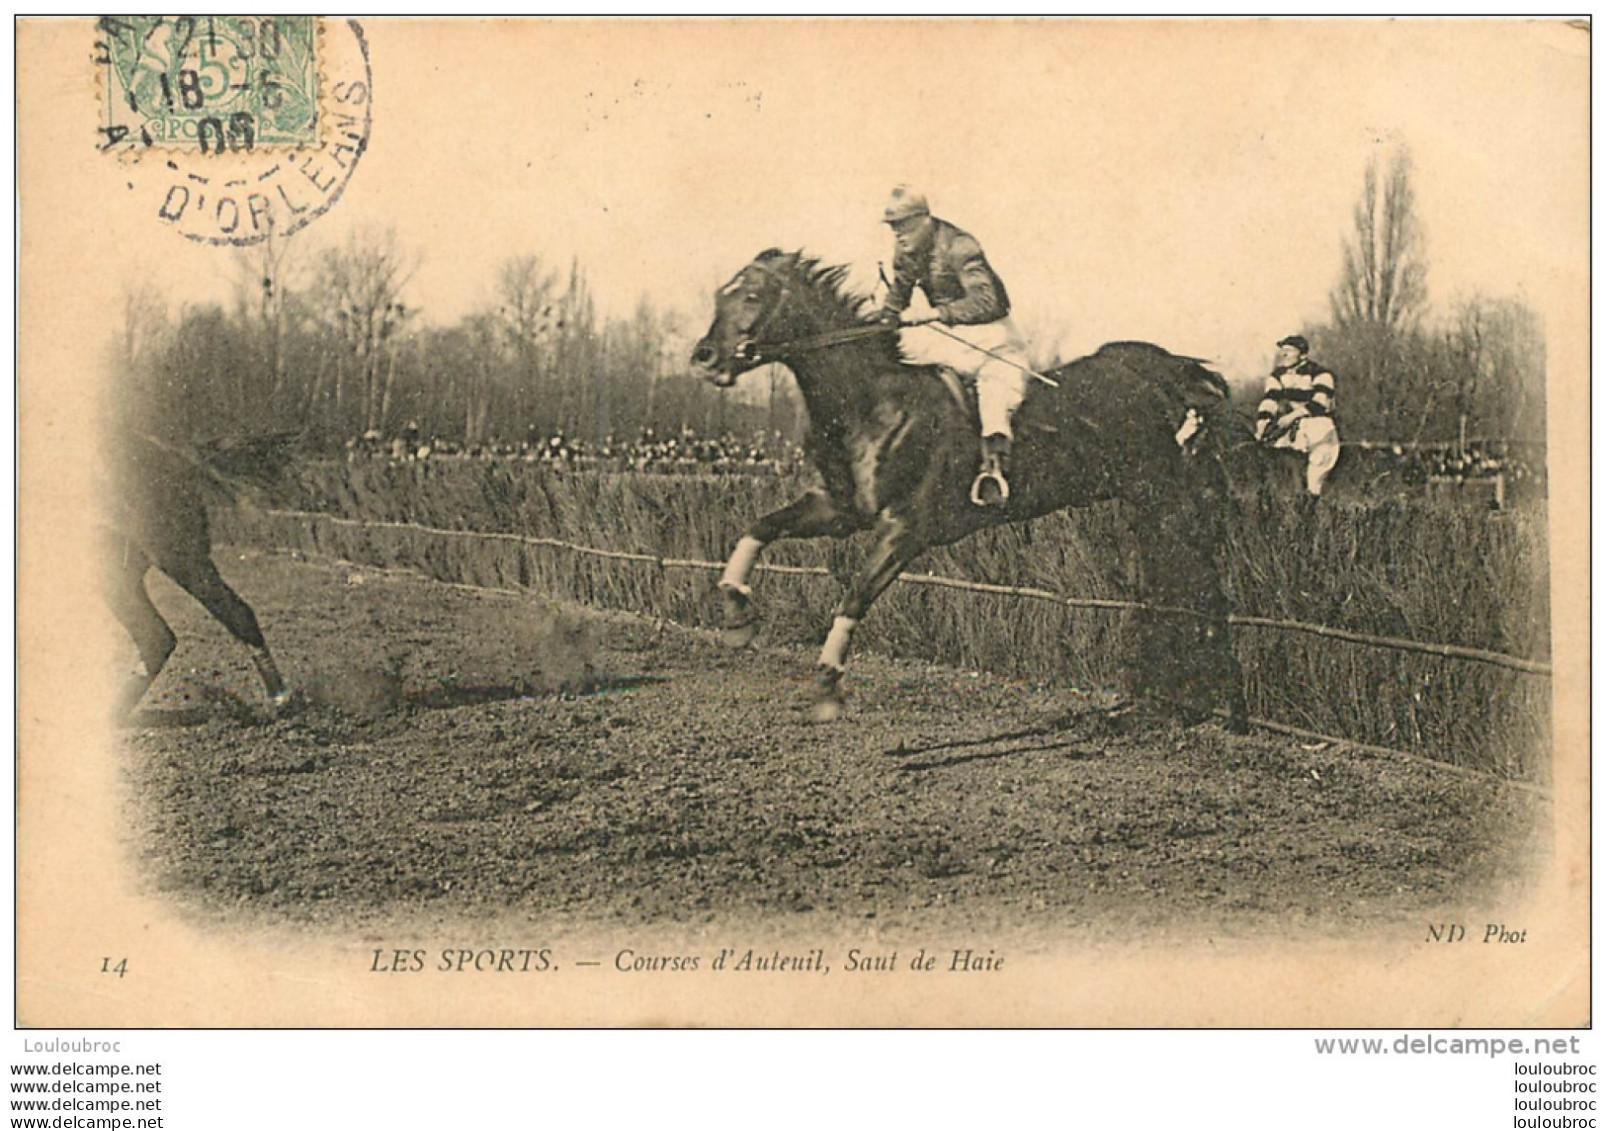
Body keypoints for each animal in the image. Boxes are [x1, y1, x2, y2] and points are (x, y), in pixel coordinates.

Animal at [684, 249, 1246, 729]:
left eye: (751, 295)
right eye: (719, 295)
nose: (704, 357)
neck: (873, 403)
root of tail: (1170, 370)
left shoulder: (906, 529)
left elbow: (854, 595)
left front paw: (826, 685)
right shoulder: (841, 510)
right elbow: (760, 525)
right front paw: (735, 611)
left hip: (1171, 496)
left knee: (1202, 585)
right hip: (1147, 501)